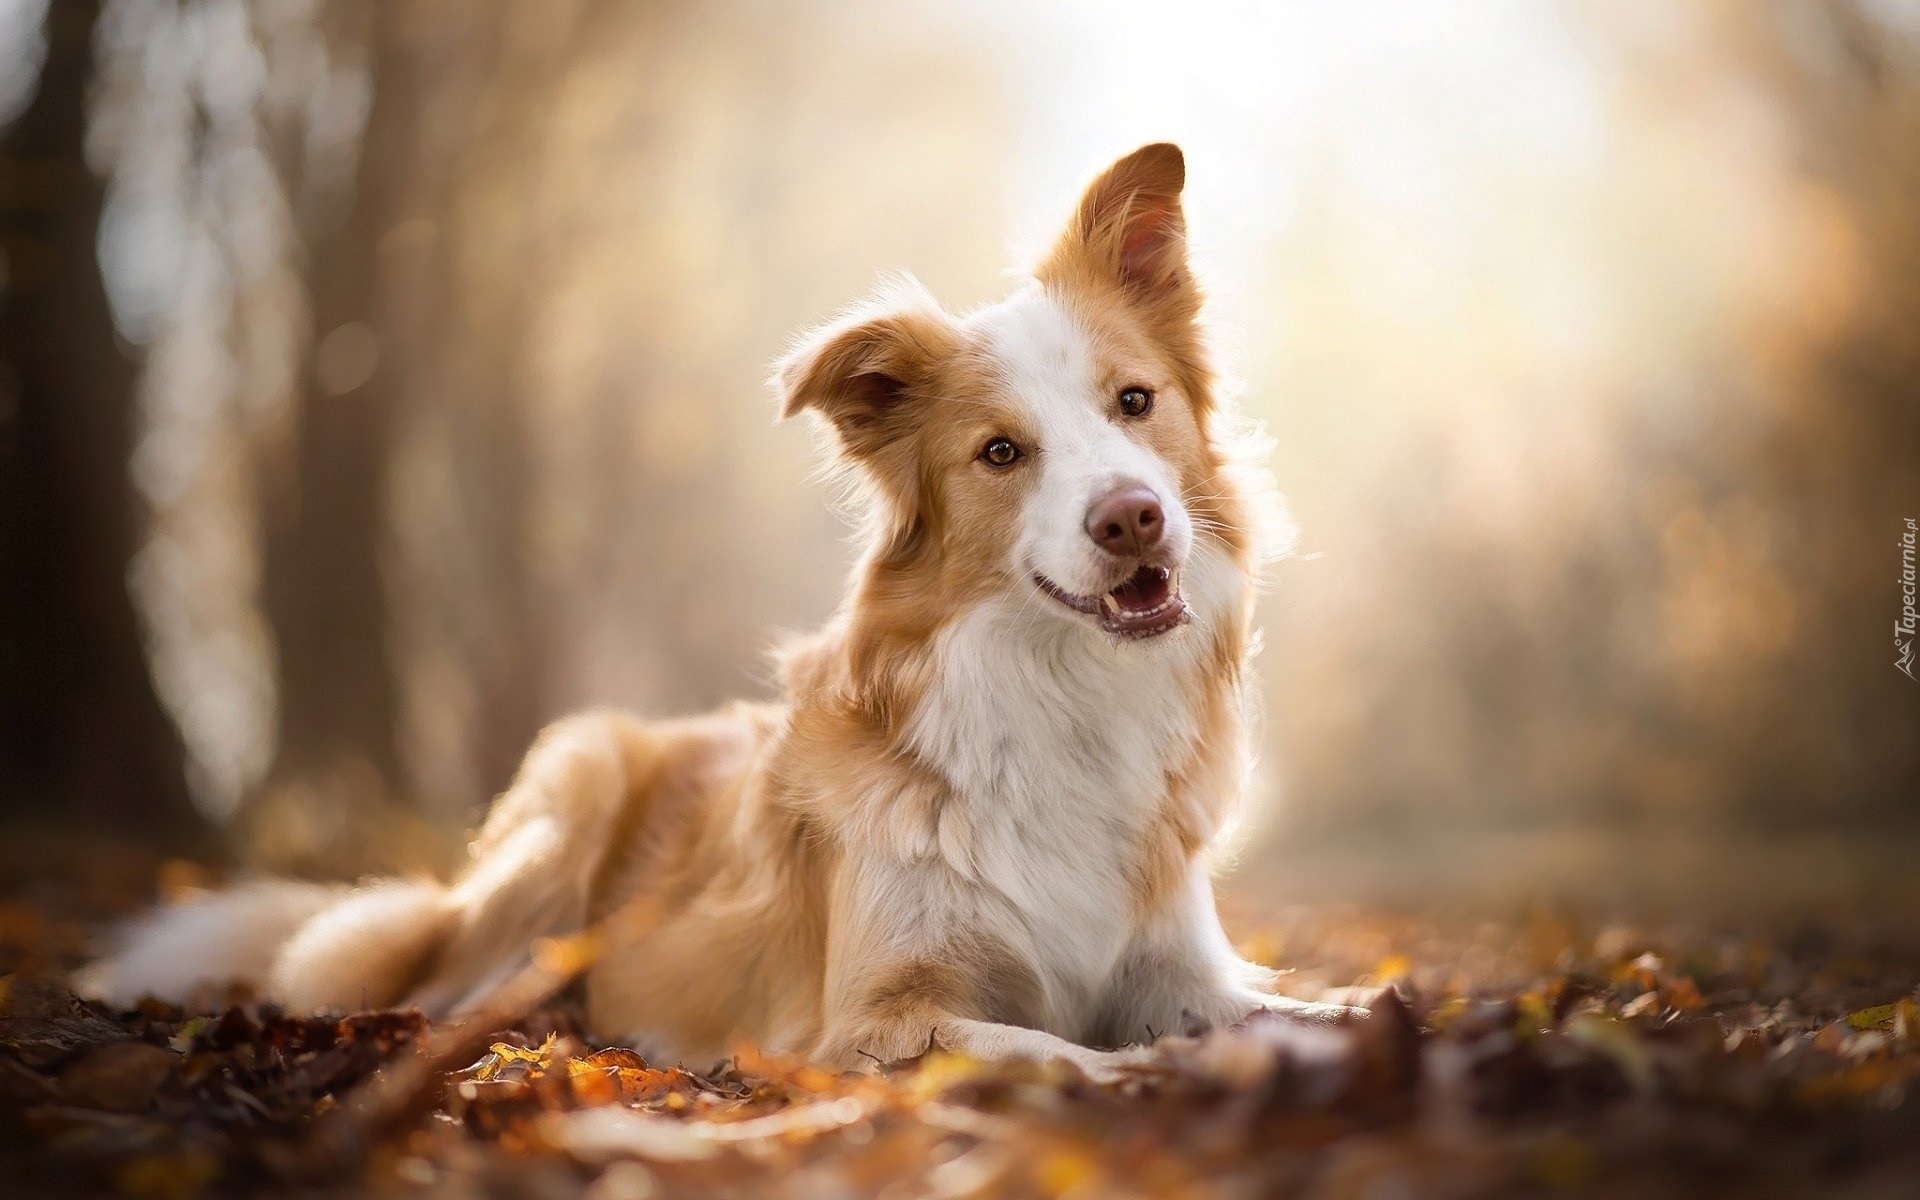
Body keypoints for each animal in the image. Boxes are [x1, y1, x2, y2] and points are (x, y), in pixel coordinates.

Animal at [82, 143, 1359, 1075]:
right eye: (1002, 452)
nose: (1134, 519)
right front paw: (1179, 1074)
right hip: (574, 787)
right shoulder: (876, 1020)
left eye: (1134, 402)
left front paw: (1355, 1021)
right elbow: (1068, 1052)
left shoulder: (1177, 967)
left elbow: (1279, 1002)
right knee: (445, 978)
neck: (1064, 695)